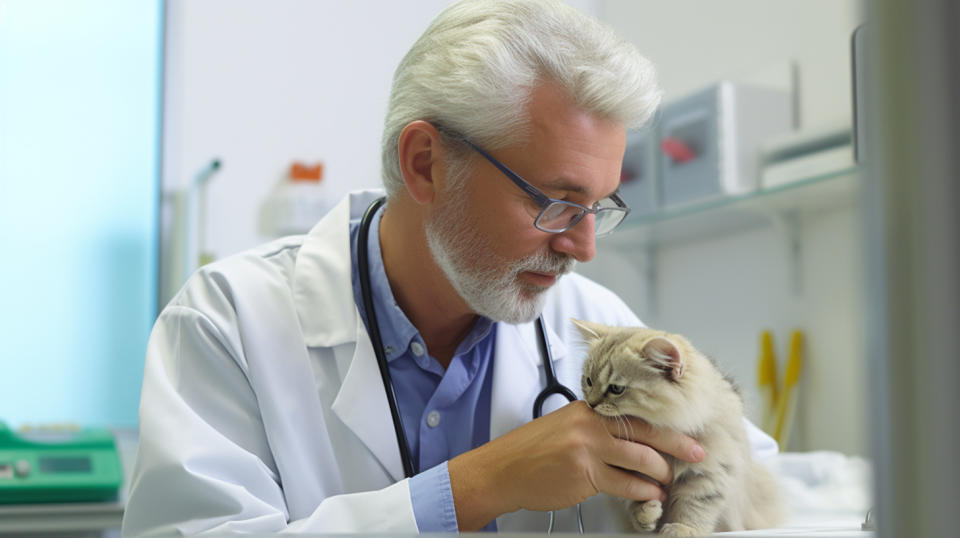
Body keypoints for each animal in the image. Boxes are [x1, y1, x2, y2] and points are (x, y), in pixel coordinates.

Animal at [572, 320, 784, 532]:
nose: (590, 403)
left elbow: (693, 507)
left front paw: (682, 529)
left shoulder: (708, 473)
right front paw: (645, 516)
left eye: (616, 389)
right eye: (588, 381)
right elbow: (637, 495)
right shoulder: (634, 470)